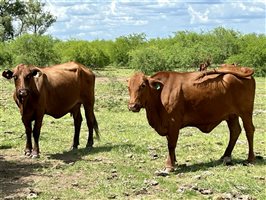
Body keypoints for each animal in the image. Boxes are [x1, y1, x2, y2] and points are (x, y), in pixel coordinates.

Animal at [128, 66, 256, 173]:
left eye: (143, 85)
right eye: (128, 87)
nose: (132, 106)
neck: (160, 94)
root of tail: (241, 68)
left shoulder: (173, 123)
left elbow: (171, 144)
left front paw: (169, 166)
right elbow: (170, 142)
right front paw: (174, 162)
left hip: (246, 112)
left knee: (249, 130)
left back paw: (250, 159)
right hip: (231, 115)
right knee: (235, 131)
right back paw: (226, 156)